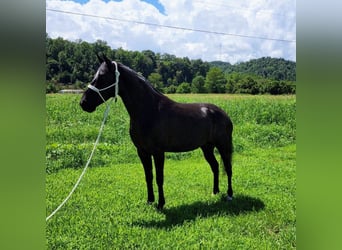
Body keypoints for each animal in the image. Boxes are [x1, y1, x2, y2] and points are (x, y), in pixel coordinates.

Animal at [81, 54, 234, 209]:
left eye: (102, 76)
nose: (83, 103)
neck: (150, 110)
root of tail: (223, 113)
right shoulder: (142, 152)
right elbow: (148, 176)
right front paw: (150, 201)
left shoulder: (158, 152)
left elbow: (159, 178)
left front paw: (161, 203)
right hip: (207, 147)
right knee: (215, 166)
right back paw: (215, 192)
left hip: (223, 146)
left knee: (228, 168)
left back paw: (229, 195)